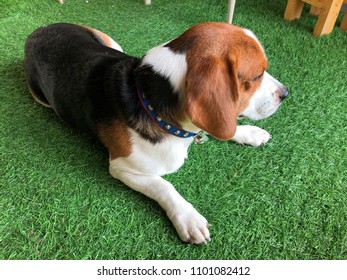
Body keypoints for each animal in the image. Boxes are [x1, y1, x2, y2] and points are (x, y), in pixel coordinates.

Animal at [24, 23, 290, 244]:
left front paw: (248, 133)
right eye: (257, 76)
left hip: (110, 43)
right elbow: (163, 185)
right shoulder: (122, 167)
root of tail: (38, 30)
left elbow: (223, 127)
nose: (285, 93)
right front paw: (188, 217)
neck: (149, 99)